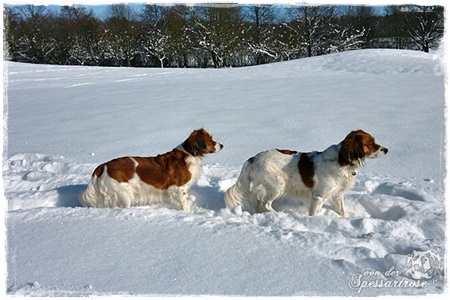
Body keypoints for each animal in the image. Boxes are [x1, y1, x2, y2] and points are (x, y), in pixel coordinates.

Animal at [80, 129, 223, 211]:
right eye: (210, 140)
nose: (222, 145)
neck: (189, 153)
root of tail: (103, 165)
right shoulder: (177, 188)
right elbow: (185, 205)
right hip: (124, 193)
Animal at [225, 129, 386, 216]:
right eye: (371, 143)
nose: (387, 149)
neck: (342, 161)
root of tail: (253, 158)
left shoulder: (337, 195)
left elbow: (342, 211)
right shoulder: (318, 196)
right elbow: (314, 213)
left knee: (259, 203)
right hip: (278, 185)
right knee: (266, 203)